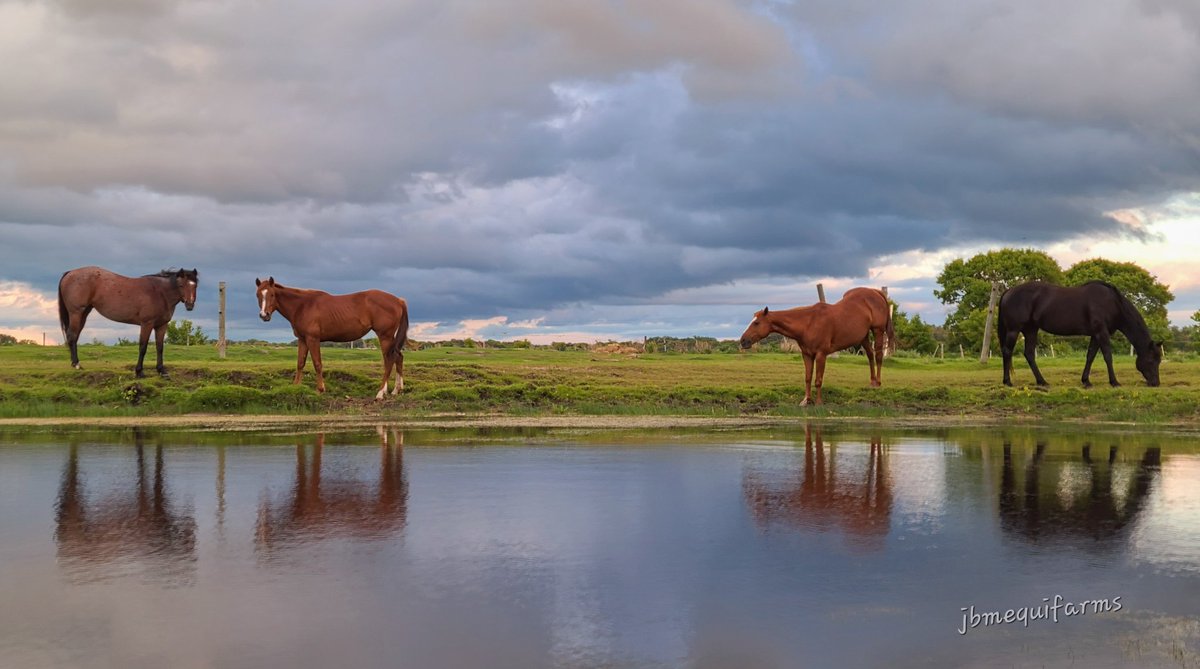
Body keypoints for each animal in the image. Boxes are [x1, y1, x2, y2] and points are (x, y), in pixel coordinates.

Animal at [58, 266, 198, 377]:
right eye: (181, 285)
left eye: (195, 285)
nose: (190, 305)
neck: (159, 292)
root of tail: (70, 273)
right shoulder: (147, 324)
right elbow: (143, 347)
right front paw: (139, 371)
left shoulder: (162, 326)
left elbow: (160, 348)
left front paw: (161, 371)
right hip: (76, 313)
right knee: (72, 336)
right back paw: (76, 364)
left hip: (84, 313)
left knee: (75, 337)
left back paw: (75, 363)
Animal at [255, 277, 409, 399]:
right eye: (258, 295)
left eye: (272, 294)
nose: (264, 315)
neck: (302, 305)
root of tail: (399, 300)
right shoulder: (302, 339)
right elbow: (300, 363)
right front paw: (296, 386)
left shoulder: (312, 339)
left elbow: (317, 363)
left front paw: (320, 389)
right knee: (398, 357)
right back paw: (396, 390)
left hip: (385, 336)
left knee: (389, 360)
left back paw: (380, 393)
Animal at [739, 287, 894, 405]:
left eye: (756, 323)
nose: (743, 340)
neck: (808, 323)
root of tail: (876, 292)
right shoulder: (807, 355)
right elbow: (808, 378)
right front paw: (806, 400)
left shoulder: (821, 355)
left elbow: (818, 380)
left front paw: (819, 402)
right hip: (863, 337)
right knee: (870, 355)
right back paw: (872, 382)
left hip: (877, 331)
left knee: (878, 355)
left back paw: (878, 383)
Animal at [998, 281, 1161, 388]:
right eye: (1151, 360)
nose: (1156, 383)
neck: (1113, 304)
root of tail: (1008, 291)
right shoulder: (1102, 333)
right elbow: (1108, 356)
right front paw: (1114, 382)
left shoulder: (1096, 335)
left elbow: (1090, 356)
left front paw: (1086, 381)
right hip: (1014, 330)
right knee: (1007, 352)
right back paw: (1008, 382)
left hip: (1031, 330)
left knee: (1029, 354)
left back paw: (1042, 381)